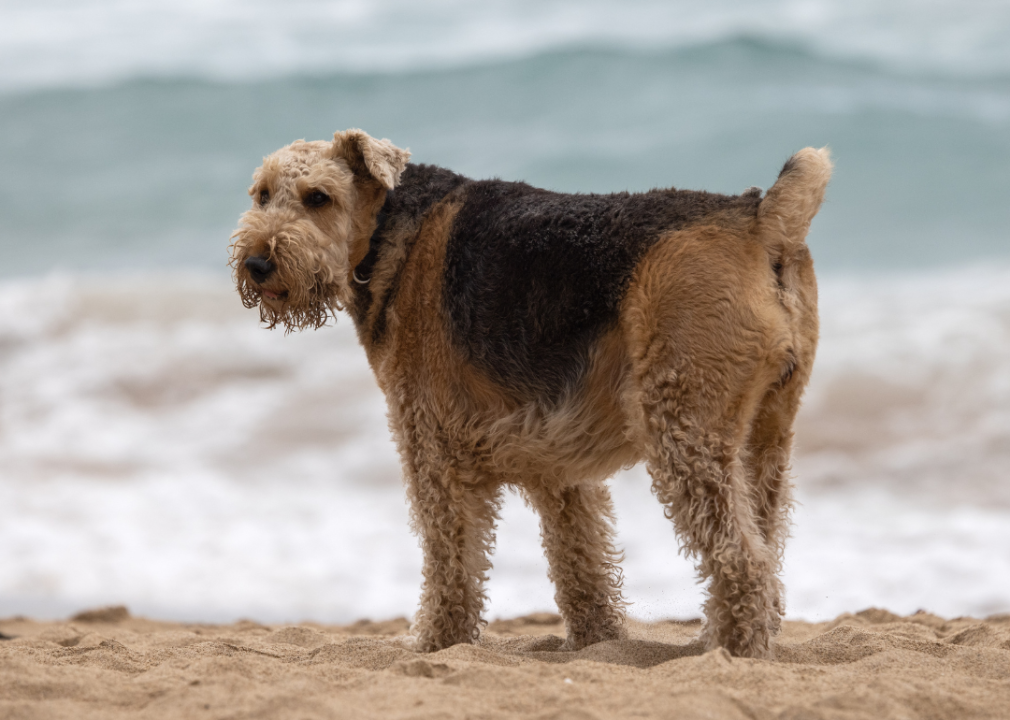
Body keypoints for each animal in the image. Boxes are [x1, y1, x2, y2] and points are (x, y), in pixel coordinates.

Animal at [231, 130, 828, 658]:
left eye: (319, 197)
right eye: (261, 194)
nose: (257, 263)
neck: (391, 237)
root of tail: (760, 218)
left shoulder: (430, 448)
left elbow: (451, 563)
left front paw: (436, 643)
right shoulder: (556, 464)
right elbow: (580, 566)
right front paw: (596, 642)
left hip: (684, 430)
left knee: (743, 560)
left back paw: (728, 652)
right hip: (765, 435)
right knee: (766, 548)